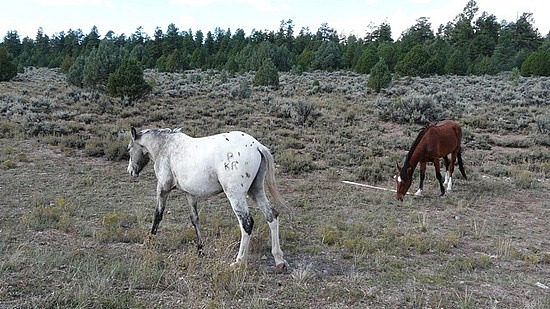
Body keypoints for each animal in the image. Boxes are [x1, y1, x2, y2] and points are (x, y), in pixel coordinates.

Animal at [128, 125, 288, 270]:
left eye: (129, 149)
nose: (130, 171)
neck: (166, 147)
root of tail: (257, 146)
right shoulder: (190, 194)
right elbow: (194, 219)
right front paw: (200, 249)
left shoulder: (163, 189)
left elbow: (158, 215)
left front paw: (149, 242)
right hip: (256, 190)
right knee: (272, 215)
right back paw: (279, 260)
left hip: (236, 195)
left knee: (247, 223)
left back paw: (239, 262)